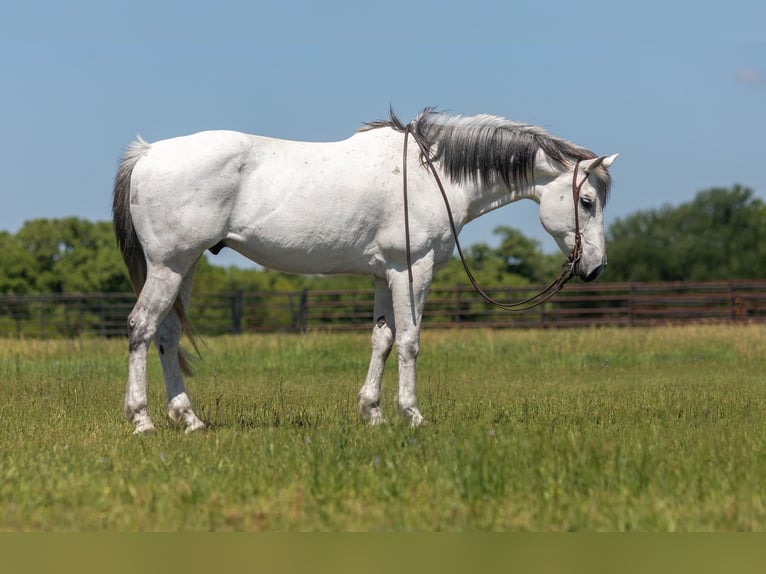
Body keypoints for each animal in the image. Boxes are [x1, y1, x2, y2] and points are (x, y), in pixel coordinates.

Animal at [112, 108, 616, 434]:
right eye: (586, 202)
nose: (595, 268)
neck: (429, 175)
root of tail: (148, 153)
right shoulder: (413, 270)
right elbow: (410, 341)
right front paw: (411, 414)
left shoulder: (383, 275)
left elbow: (383, 340)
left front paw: (372, 412)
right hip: (170, 266)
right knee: (140, 328)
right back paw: (142, 420)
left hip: (186, 267)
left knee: (167, 334)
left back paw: (189, 419)